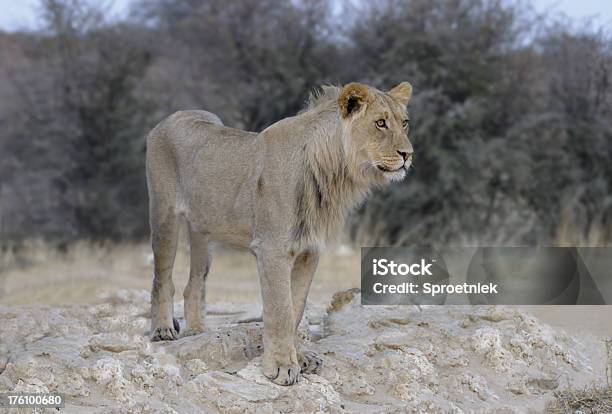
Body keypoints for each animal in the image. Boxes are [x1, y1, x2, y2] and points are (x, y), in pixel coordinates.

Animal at [146, 81, 414, 384]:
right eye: (380, 123)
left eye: (404, 123)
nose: (408, 155)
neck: (333, 173)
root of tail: (173, 116)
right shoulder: (272, 249)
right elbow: (281, 310)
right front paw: (282, 366)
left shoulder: (310, 250)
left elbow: (297, 307)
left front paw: (301, 357)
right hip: (164, 216)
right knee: (162, 278)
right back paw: (162, 329)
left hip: (203, 229)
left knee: (195, 282)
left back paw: (197, 330)